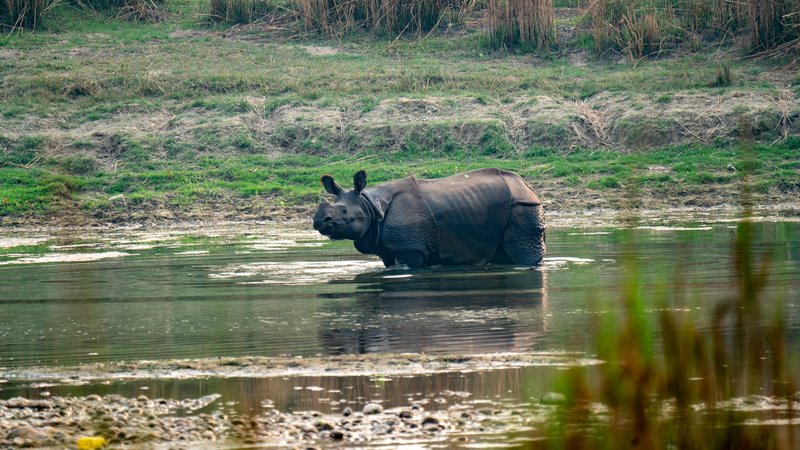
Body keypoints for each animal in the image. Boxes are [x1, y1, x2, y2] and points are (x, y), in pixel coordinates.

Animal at [312, 168, 546, 268]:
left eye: (344, 212)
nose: (318, 221)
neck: (370, 204)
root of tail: (526, 186)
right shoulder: (388, 248)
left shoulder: (409, 248)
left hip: (523, 205)